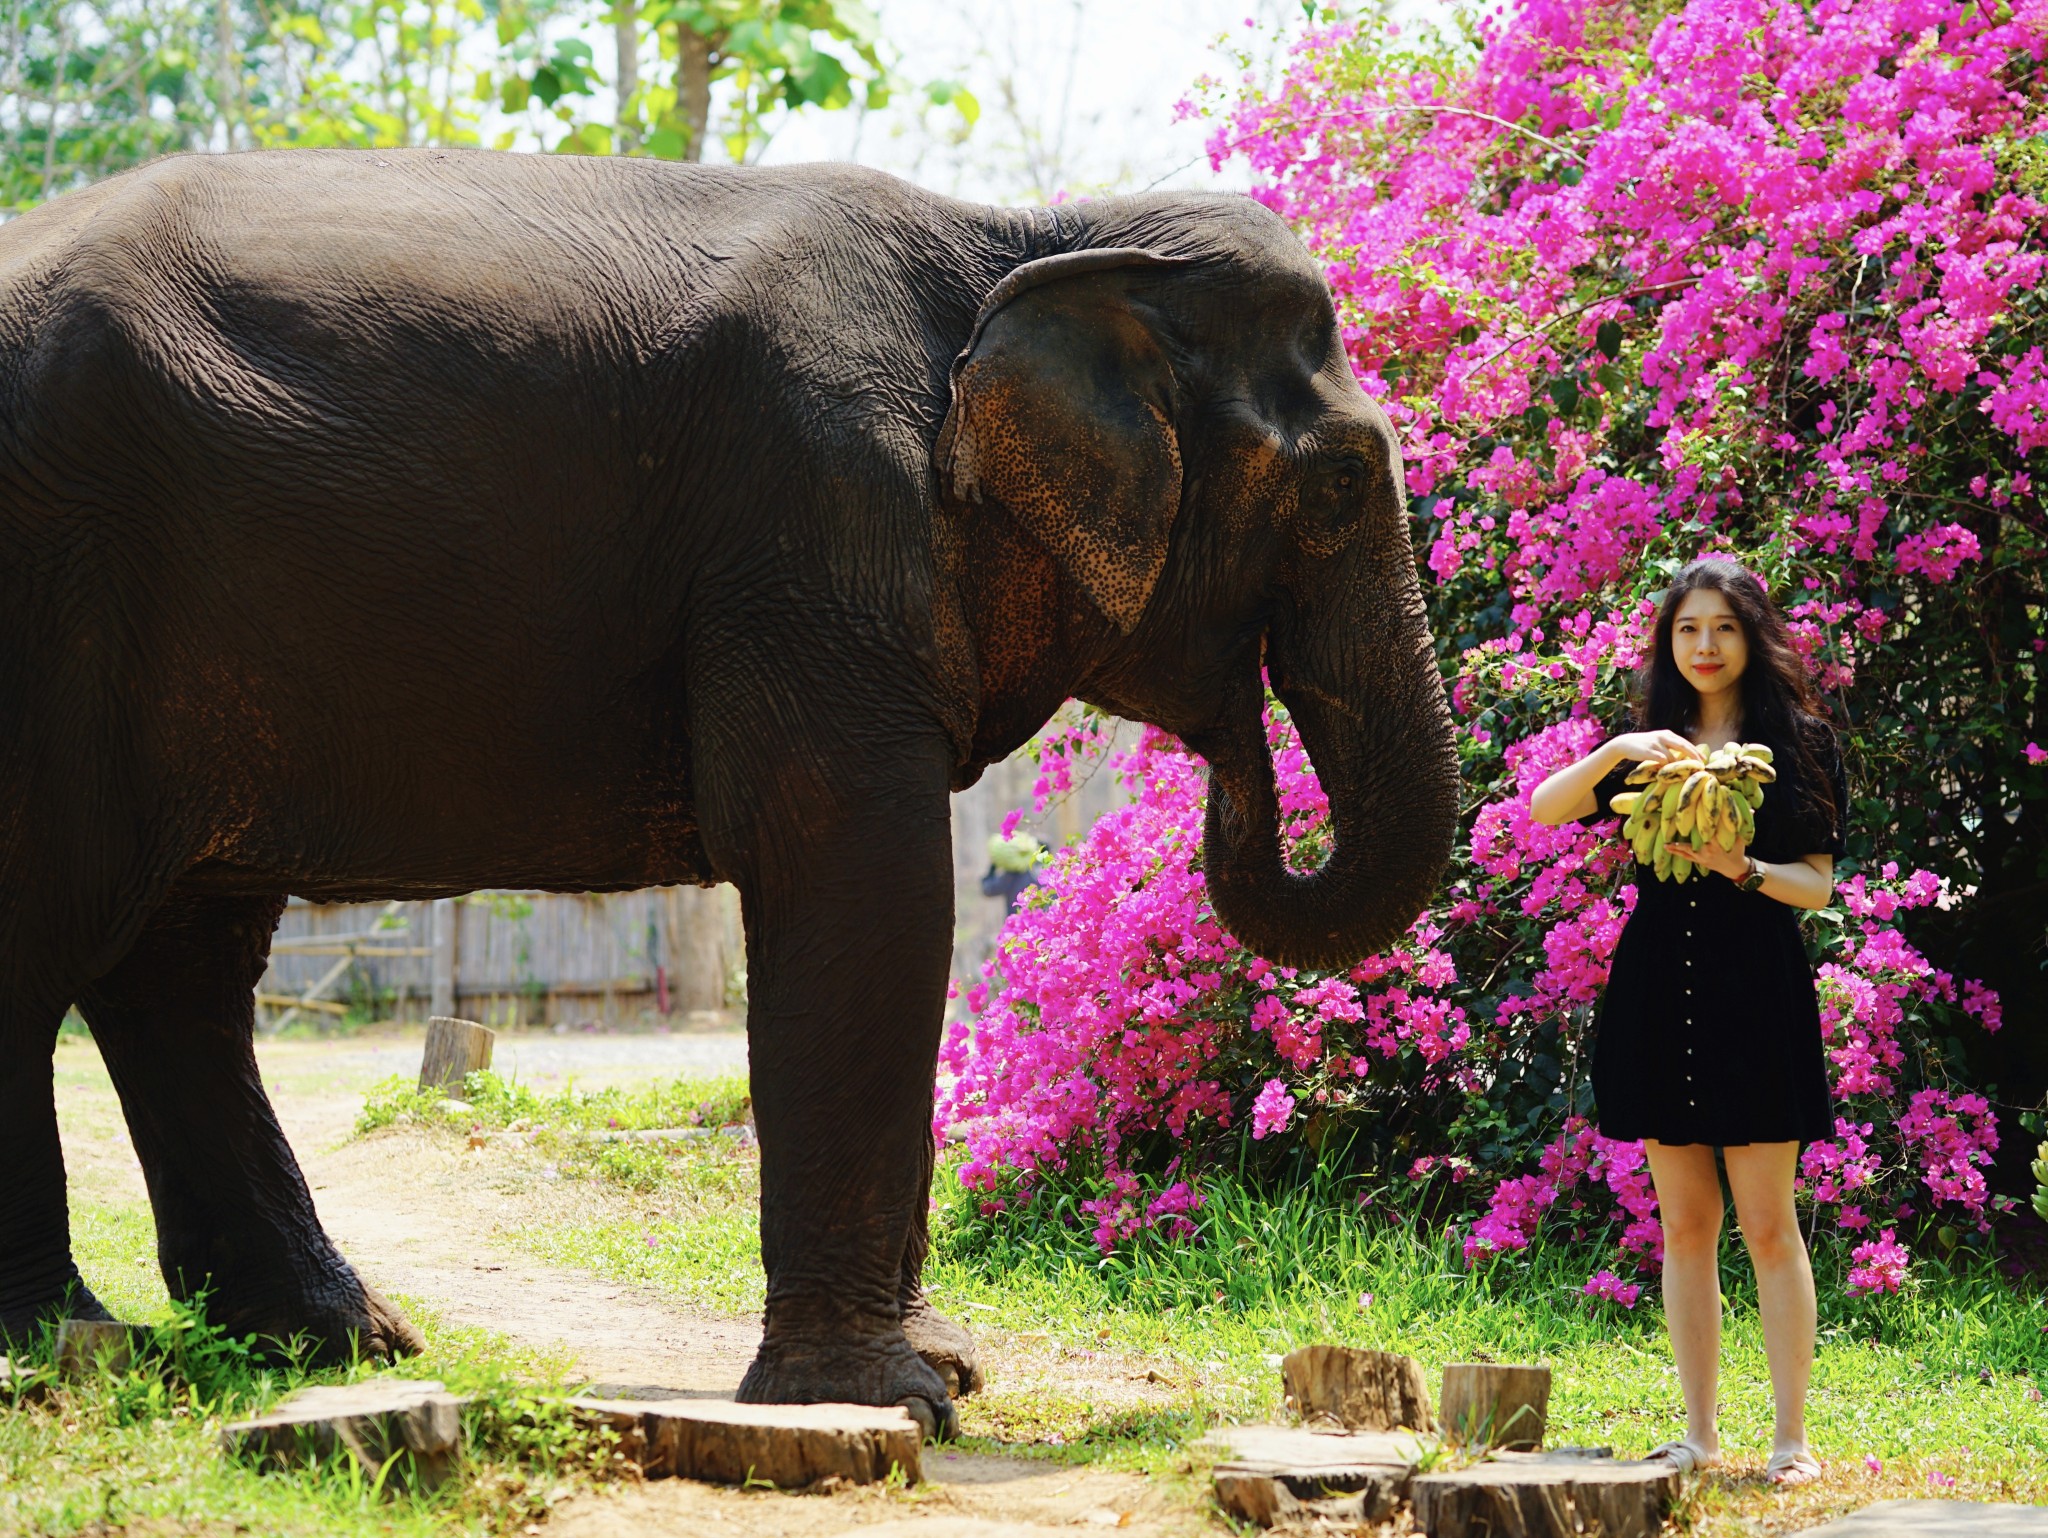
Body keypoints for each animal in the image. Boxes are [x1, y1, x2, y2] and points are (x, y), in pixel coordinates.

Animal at [4, 150, 1474, 1441]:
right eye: (1343, 483)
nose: (1236, 742)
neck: (1023, 234)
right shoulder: (816, 530)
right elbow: (868, 884)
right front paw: (891, 1397)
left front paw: (946, 1364)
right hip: (57, 587)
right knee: (64, 943)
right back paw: (73, 1347)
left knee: (180, 963)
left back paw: (333, 1341)